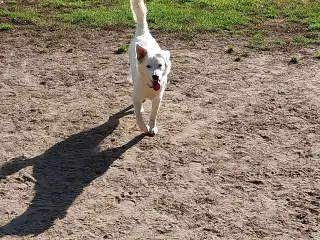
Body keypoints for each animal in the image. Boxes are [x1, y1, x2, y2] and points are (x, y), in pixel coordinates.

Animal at [128, 0, 171, 135]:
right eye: (148, 66)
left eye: (160, 65)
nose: (155, 76)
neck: (150, 86)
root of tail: (143, 33)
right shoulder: (135, 97)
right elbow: (138, 116)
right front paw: (144, 127)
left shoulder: (158, 99)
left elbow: (153, 115)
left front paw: (152, 128)